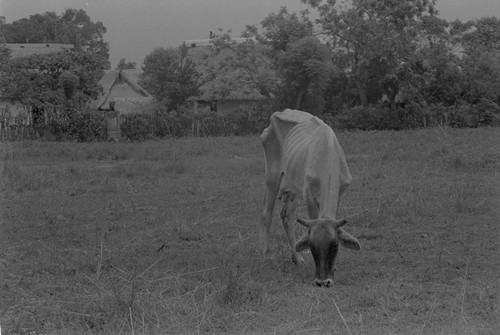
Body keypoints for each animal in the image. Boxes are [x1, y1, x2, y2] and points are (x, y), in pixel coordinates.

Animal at [260, 109, 362, 288]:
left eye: (335, 245)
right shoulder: (309, 197)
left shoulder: (339, 195)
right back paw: (267, 255)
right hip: (272, 177)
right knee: (267, 213)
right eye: (312, 246)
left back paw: (297, 258)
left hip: (293, 189)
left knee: (286, 217)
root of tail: (278, 113)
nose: (323, 281)